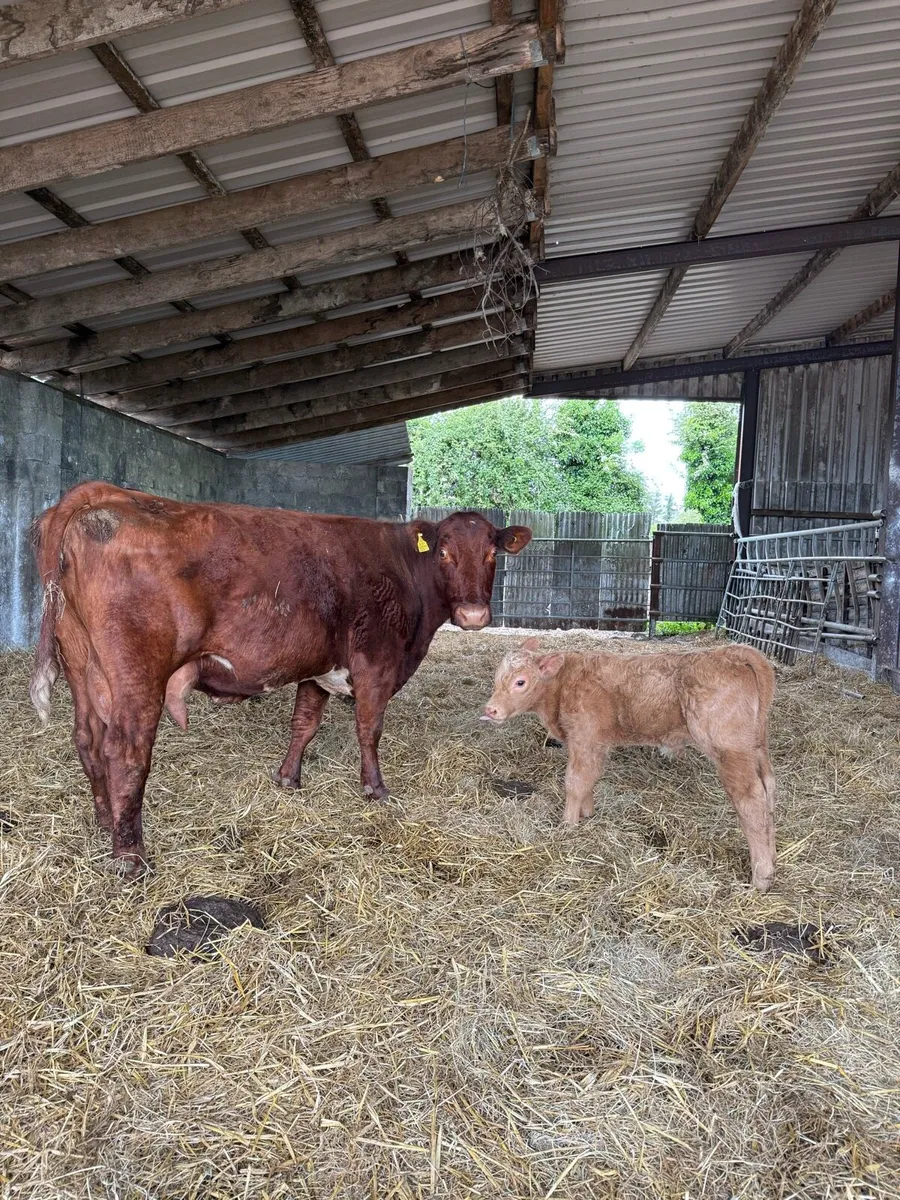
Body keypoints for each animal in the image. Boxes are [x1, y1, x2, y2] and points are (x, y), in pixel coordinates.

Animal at [30, 482, 532, 876]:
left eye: (492, 553)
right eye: (443, 552)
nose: (473, 614)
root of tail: (104, 499)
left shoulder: (318, 667)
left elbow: (304, 723)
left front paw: (288, 778)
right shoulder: (376, 664)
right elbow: (369, 728)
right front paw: (376, 789)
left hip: (81, 665)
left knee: (88, 738)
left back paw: (104, 821)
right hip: (137, 674)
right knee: (126, 749)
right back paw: (130, 855)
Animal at [481, 638, 777, 891]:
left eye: (520, 682)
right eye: (497, 679)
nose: (490, 710)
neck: (563, 684)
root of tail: (728, 653)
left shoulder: (584, 738)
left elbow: (575, 782)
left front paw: (567, 826)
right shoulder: (594, 744)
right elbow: (589, 779)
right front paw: (587, 814)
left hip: (730, 750)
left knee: (750, 799)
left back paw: (760, 877)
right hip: (756, 747)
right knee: (769, 789)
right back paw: (771, 859)